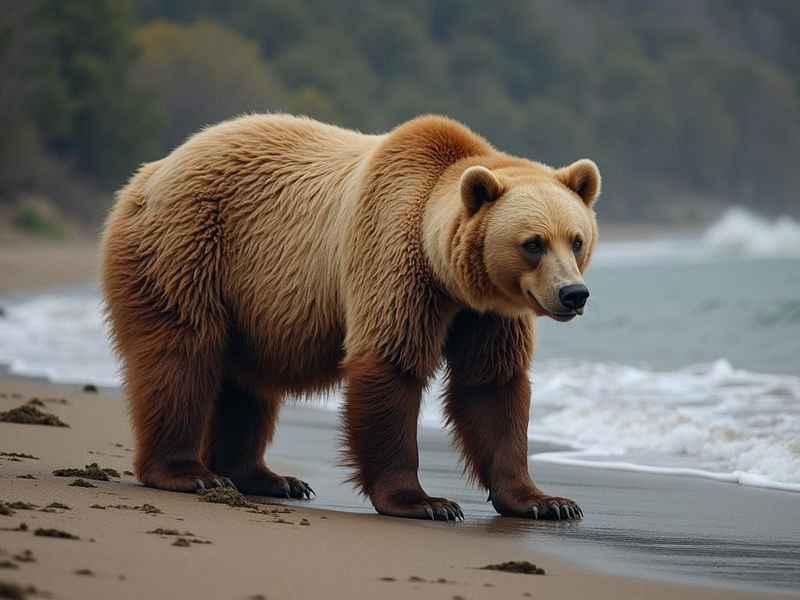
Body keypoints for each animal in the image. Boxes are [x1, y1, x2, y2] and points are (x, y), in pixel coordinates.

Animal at [101, 114, 600, 521]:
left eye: (576, 239)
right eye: (533, 243)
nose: (573, 293)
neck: (446, 275)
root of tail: (150, 173)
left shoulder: (485, 312)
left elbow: (491, 384)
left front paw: (545, 501)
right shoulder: (393, 257)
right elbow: (391, 364)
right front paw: (423, 501)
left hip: (251, 300)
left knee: (247, 382)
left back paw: (266, 477)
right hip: (189, 245)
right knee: (182, 352)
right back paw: (187, 471)